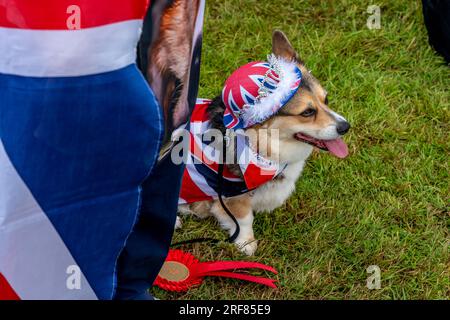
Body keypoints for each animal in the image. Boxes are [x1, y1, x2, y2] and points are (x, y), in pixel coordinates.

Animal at [178, 30, 350, 255]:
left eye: (326, 100)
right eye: (307, 112)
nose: (345, 127)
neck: (259, 144)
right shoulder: (232, 195)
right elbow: (244, 219)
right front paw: (247, 243)